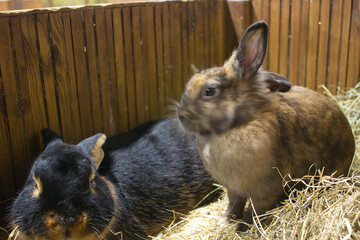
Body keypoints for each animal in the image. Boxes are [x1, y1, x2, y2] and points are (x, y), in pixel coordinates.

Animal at [177, 21, 354, 230]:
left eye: (210, 91)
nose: (181, 115)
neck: (240, 123)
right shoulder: (235, 188)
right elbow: (234, 203)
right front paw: (228, 219)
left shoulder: (264, 189)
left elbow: (255, 210)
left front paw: (244, 227)